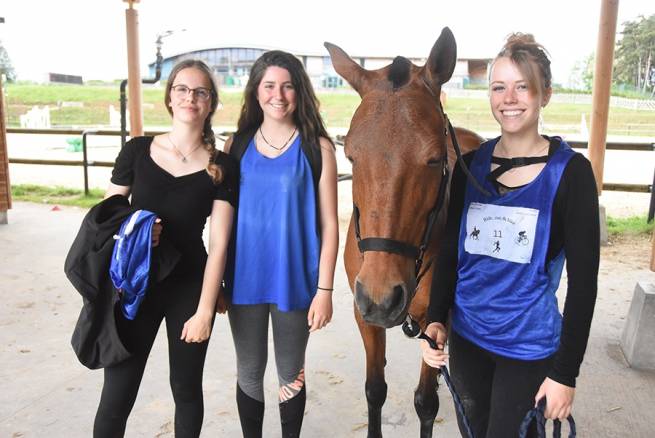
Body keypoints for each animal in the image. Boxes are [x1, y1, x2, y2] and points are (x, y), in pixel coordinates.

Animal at [326, 28, 484, 438]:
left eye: (434, 159)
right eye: (351, 156)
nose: (382, 297)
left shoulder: (438, 321)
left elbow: (426, 402)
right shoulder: (363, 313)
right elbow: (375, 389)